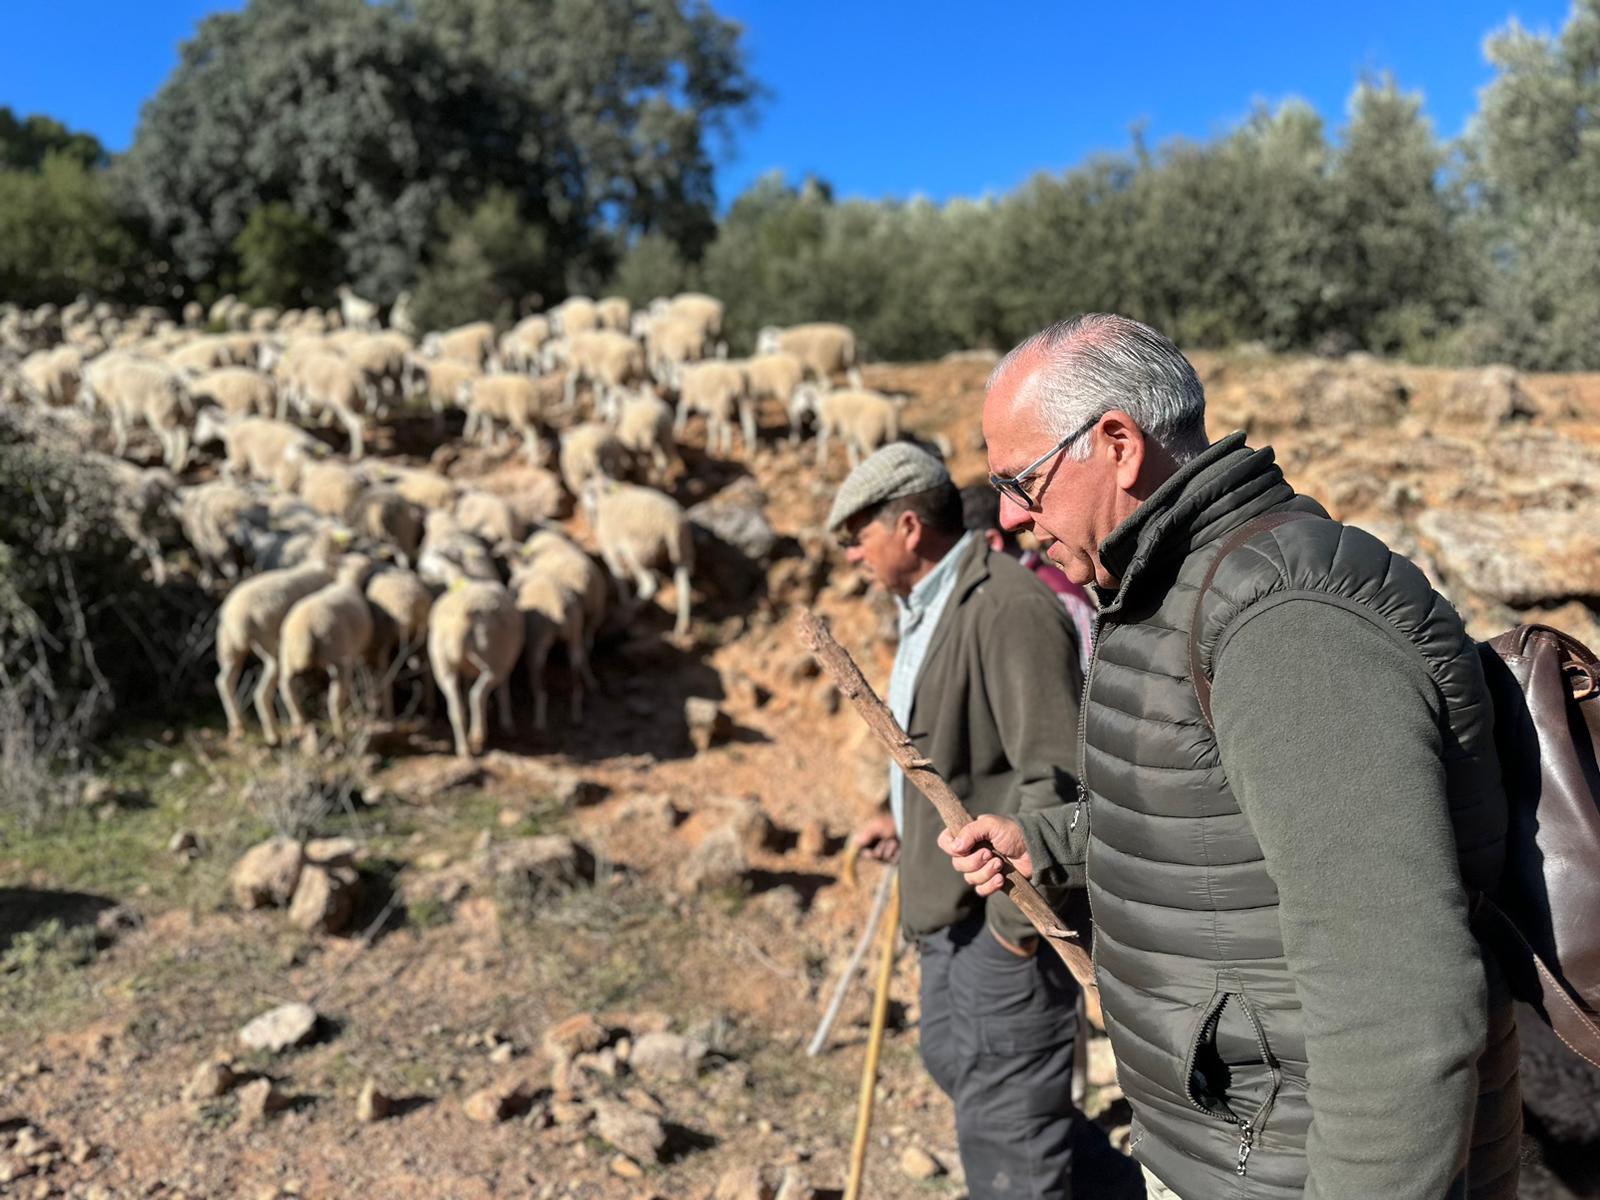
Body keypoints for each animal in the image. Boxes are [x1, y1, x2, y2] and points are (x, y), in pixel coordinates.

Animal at [281, 556, 377, 742]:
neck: (347, 582)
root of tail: (307, 628)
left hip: (288, 656)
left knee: (287, 689)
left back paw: (300, 725)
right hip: (338, 656)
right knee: (335, 700)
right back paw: (341, 730)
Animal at [428, 576, 521, 761]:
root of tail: (460, 623)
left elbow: (467, 684)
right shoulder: (505, 662)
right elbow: (503, 690)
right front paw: (507, 723)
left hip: (443, 665)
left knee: (456, 707)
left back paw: (464, 750)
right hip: (493, 661)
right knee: (477, 695)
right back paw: (477, 736)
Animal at [585, 483, 691, 640]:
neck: (605, 501)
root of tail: (671, 524)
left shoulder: (609, 548)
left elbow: (618, 575)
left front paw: (624, 601)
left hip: (638, 552)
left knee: (650, 584)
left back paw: (630, 607)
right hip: (683, 552)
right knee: (684, 585)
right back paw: (681, 627)